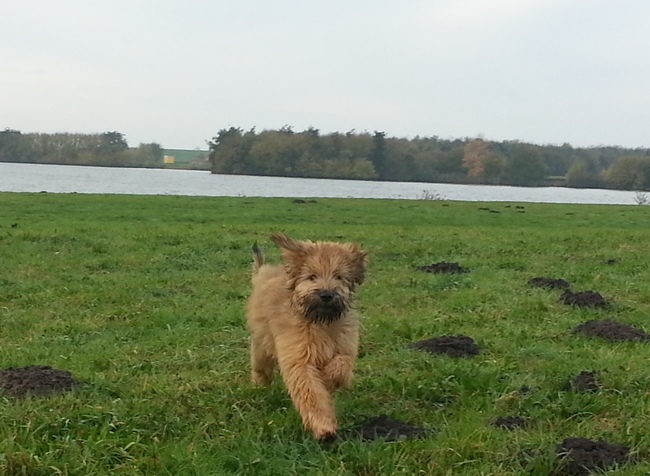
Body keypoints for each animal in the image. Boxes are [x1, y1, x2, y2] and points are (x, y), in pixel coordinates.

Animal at [246, 233, 368, 439]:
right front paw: (323, 427)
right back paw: (260, 386)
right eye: (312, 277)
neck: (320, 321)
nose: (326, 294)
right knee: (261, 367)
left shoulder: (345, 346)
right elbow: (310, 393)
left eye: (339, 276)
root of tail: (264, 272)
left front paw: (327, 378)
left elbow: (341, 366)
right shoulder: (299, 358)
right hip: (262, 343)